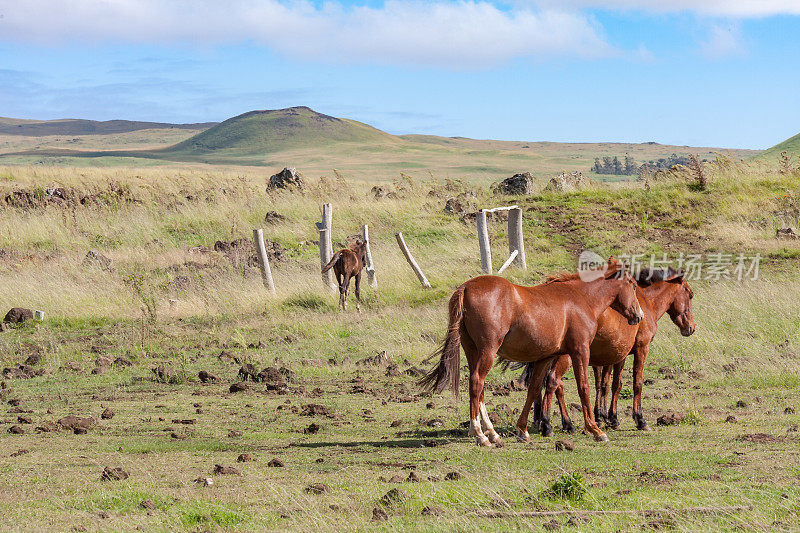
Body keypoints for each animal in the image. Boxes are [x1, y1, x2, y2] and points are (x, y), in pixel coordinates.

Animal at [418, 258, 644, 444]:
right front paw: (595, 429)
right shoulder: (580, 351)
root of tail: (465, 288)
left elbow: (534, 389)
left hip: (473, 351)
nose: (639, 315)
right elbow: (584, 387)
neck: (581, 298)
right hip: (487, 351)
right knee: (476, 383)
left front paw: (523, 430)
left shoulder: (546, 357)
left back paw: (492, 433)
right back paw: (480, 434)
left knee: (479, 389)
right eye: (633, 285)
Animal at [516, 264, 696, 438]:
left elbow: (612, 384)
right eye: (690, 295)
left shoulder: (619, 355)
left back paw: (552, 423)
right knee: (553, 382)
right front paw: (639, 419)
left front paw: (610, 418)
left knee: (545, 384)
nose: (691, 327)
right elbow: (636, 383)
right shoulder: (641, 349)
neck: (646, 302)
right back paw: (549, 425)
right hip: (564, 358)